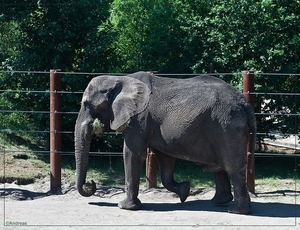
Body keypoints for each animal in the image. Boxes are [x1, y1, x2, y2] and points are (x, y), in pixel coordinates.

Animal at [74, 71, 255, 214]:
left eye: (87, 104)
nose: (91, 184)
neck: (119, 79)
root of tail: (246, 104)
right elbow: (165, 159)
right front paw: (184, 192)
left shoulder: (139, 118)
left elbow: (132, 154)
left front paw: (125, 207)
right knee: (218, 166)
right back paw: (219, 202)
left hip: (227, 127)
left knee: (233, 166)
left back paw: (237, 211)